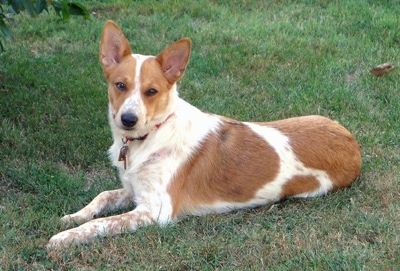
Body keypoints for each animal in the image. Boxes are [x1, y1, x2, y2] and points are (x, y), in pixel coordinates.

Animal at [47, 20, 362, 250]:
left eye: (152, 91)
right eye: (120, 85)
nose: (128, 120)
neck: (151, 137)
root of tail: (353, 145)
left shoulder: (156, 210)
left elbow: (101, 224)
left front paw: (66, 238)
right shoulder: (134, 191)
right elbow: (101, 197)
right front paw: (74, 216)